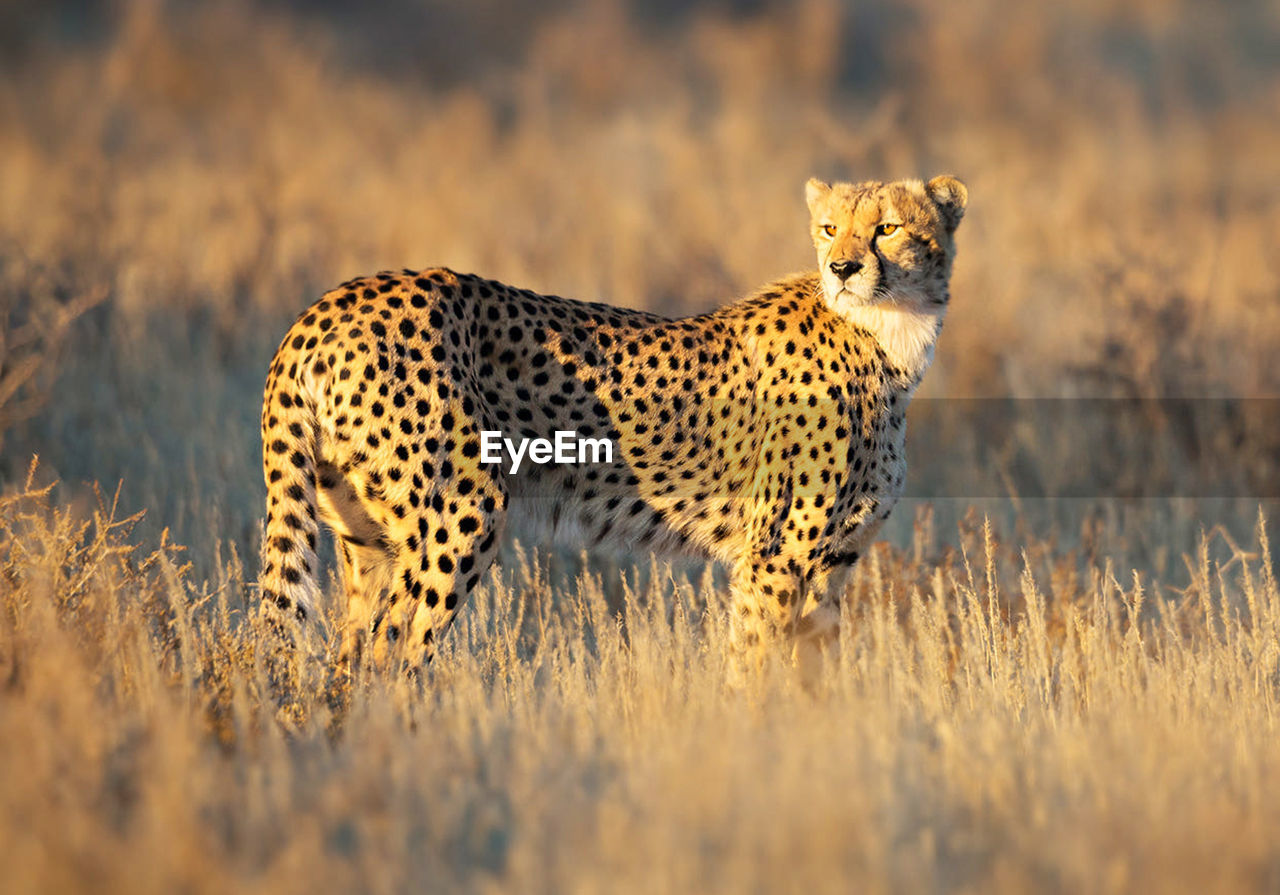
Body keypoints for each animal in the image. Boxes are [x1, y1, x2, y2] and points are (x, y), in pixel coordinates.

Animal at [254, 175, 962, 681]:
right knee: (392, 650)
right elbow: (755, 666)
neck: (891, 335)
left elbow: (814, 678)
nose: (842, 269)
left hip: (369, 537)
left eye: (888, 228)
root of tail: (327, 304)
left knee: (344, 662)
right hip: (462, 511)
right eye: (829, 228)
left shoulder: (834, 561)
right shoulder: (775, 556)